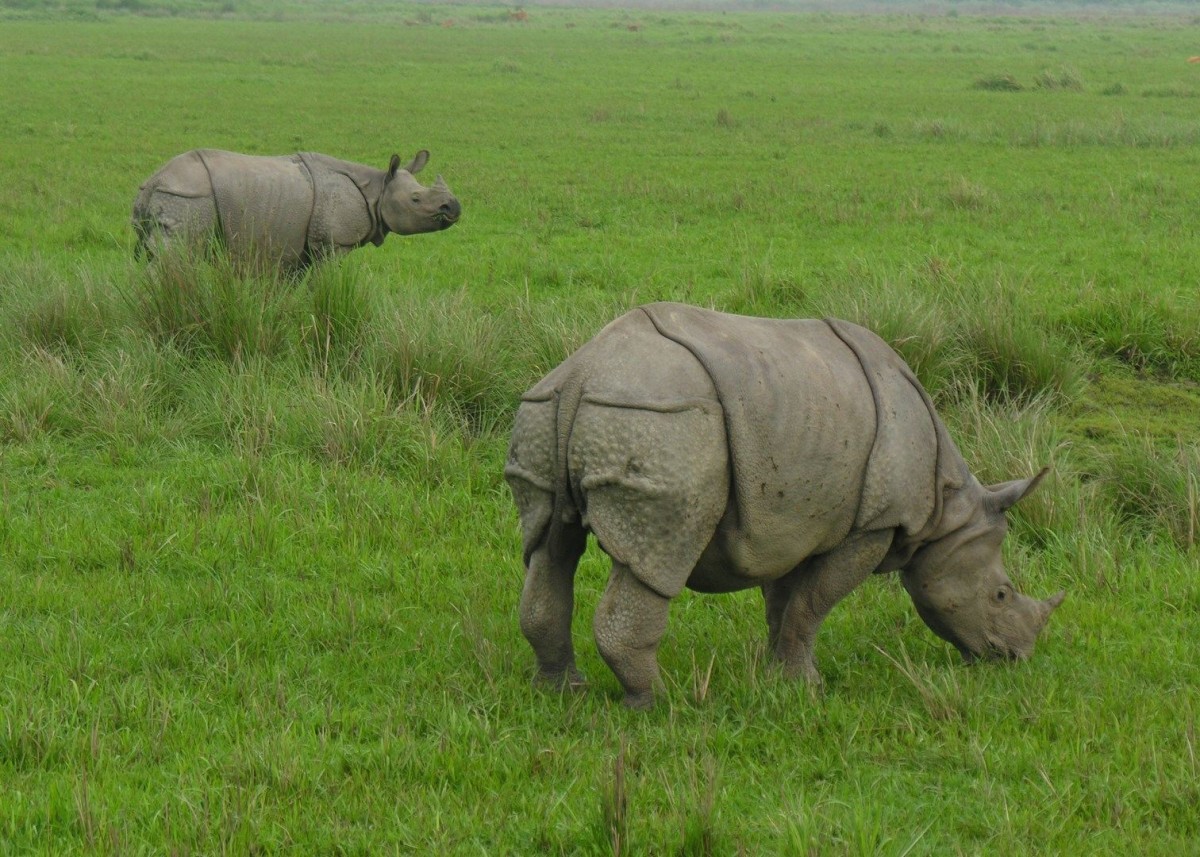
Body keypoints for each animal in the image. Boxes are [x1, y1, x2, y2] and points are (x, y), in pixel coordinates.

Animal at [131, 147, 458, 270]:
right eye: (416, 199)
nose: (454, 207)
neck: (377, 188)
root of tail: (154, 180)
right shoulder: (332, 243)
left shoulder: (298, 247)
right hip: (190, 197)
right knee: (177, 256)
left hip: (167, 197)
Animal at [501, 300, 1065, 705]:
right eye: (1001, 595)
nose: (1016, 658)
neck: (947, 509)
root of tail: (583, 375)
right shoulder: (874, 525)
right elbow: (815, 603)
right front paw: (808, 688)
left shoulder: (791, 518)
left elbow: (786, 602)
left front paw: (779, 678)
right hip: (663, 423)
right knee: (658, 556)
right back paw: (662, 704)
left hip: (549, 413)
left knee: (549, 548)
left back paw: (562, 692)